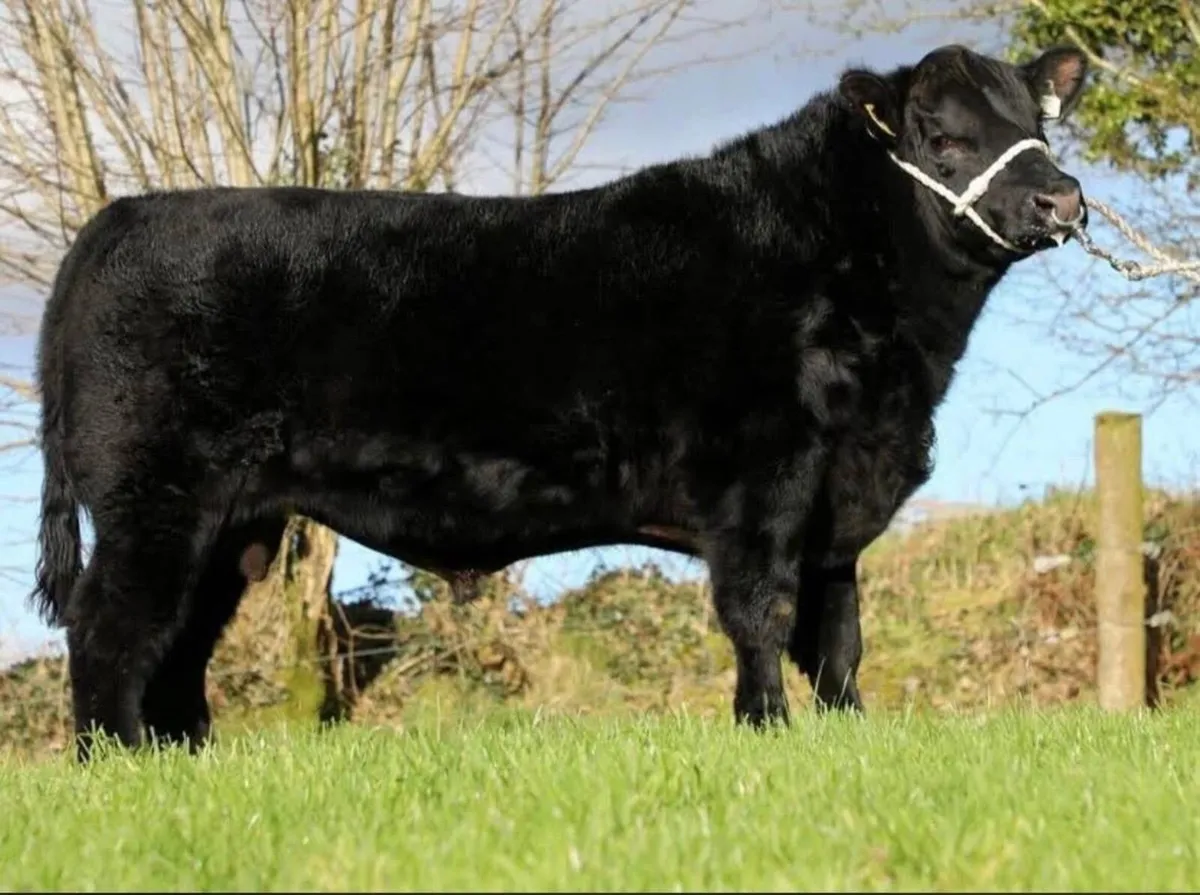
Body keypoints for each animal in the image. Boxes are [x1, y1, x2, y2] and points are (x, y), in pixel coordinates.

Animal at [31, 43, 1090, 761]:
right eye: (944, 137)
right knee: (109, 626)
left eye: (1038, 128)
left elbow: (839, 639)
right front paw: (765, 730)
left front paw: (845, 736)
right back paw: (114, 764)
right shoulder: (762, 479)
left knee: (177, 645)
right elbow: (760, 613)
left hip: (230, 524)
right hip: (155, 500)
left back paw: (182, 763)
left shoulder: (839, 494)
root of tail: (122, 215)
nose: (1063, 200)